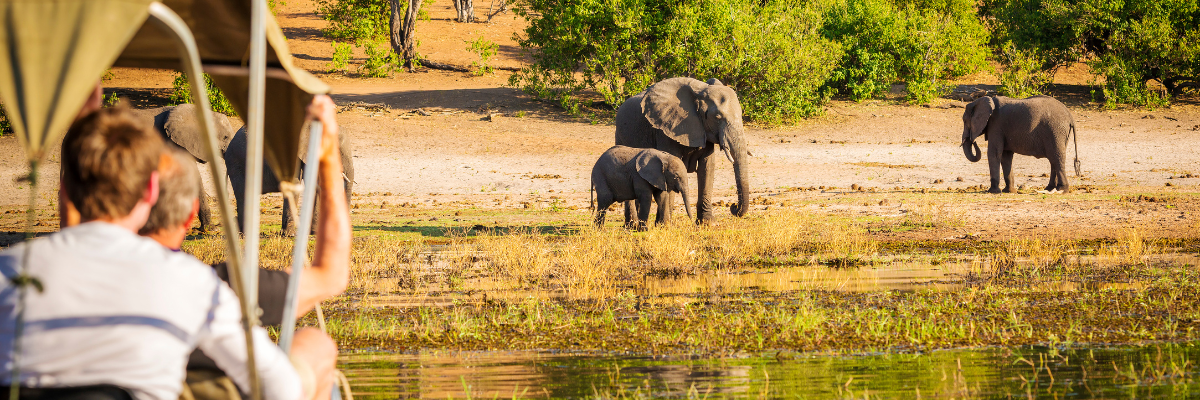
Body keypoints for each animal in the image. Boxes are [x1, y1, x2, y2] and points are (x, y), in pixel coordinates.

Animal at [615, 77, 751, 225]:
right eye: (718, 117)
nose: (733, 207)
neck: (700, 92)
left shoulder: (702, 129)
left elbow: (707, 167)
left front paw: (708, 223)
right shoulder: (664, 130)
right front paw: (665, 225)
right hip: (620, 136)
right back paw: (632, 225)